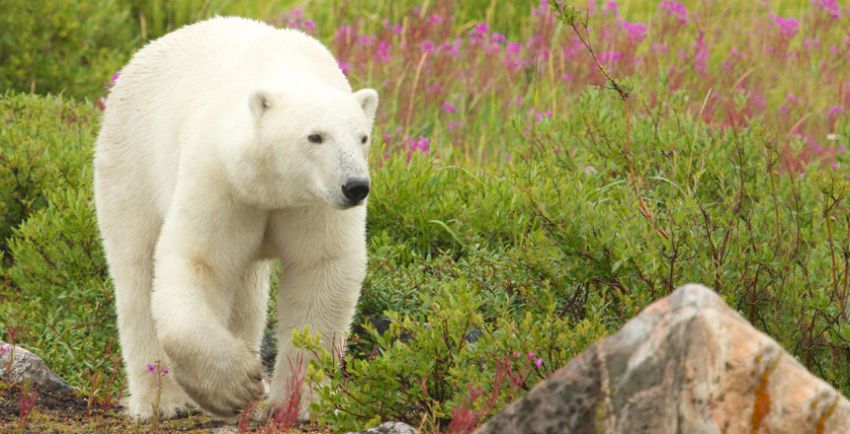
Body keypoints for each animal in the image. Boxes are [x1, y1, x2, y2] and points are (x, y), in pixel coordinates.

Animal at [93, 17, 378, 420]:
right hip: (129, 163)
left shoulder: (312, 204)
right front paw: (234, 387)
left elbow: (321, 267)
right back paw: (162, 401)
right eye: (315, 136)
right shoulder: (221, 178)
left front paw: (300, 403)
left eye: (362, 137)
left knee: (246, 292)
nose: (355, 186)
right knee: (136, 269)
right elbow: (199, 261)